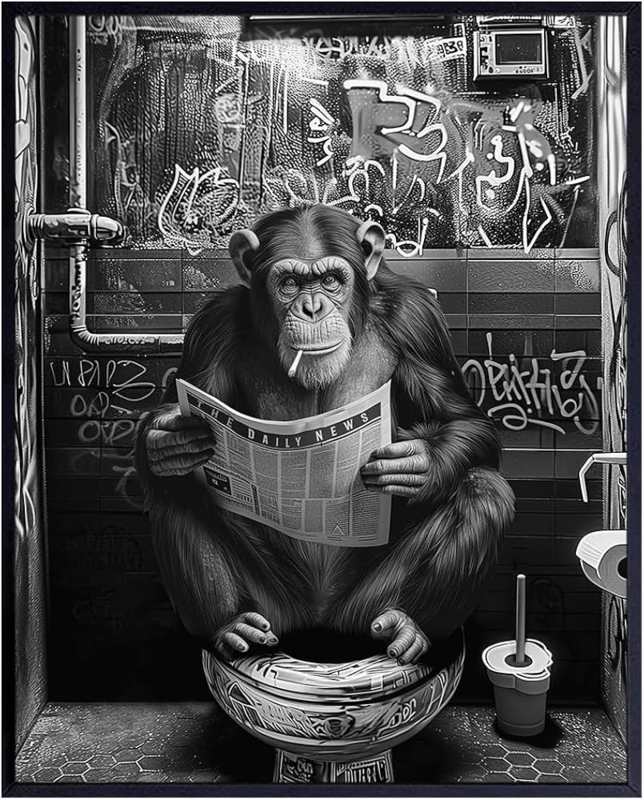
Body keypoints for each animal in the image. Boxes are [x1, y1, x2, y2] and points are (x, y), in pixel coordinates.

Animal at [134, 205, 515, 666]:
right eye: (289, 283)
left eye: (331, 280)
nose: (312, 308)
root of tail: (320, 617)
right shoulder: (213, 326)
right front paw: (168, 441)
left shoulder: (416, 319)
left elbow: (463, 419)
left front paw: (417, 465)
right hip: (275, 607)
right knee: (175, 491)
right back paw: (231, 624)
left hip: (366, 607)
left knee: (483, 489)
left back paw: (410, 625)